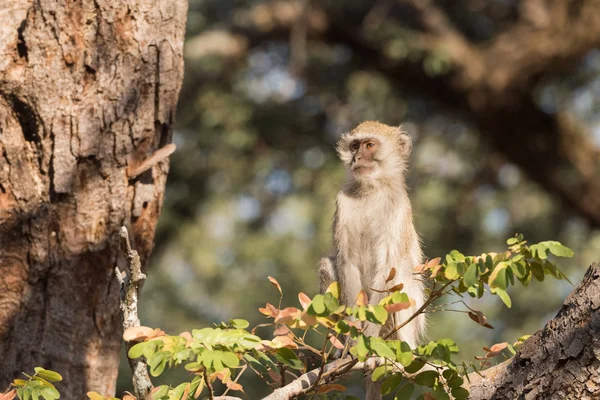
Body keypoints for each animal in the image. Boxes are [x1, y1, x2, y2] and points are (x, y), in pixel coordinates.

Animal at [318, 122, 426, 400]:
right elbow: (346, 263)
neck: (371, 191)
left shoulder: (397, 207)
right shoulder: (342, 202)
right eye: (355, 146)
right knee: (327, 264)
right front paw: (352, 343)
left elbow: (388, 269)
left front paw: (368, 345)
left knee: (402, 279)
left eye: (369, 145)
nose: (357, 158)